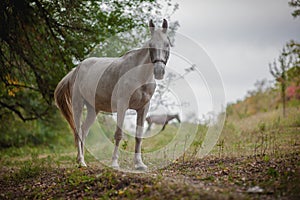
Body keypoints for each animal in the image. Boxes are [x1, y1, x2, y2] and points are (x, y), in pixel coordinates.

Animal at [54, 19, 170, 170]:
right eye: (151, 45)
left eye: (167, 44)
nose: (159, 71)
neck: (139, 75)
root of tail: (76, 69)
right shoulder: (122, 106)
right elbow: (118, 135)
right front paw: (114, 163)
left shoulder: (143, 108)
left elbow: (139, 135)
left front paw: (139, 164)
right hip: (78, 105)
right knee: (78, 131)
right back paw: (81, 162)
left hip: (93, 110)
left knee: (84, 131)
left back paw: (82, 159)